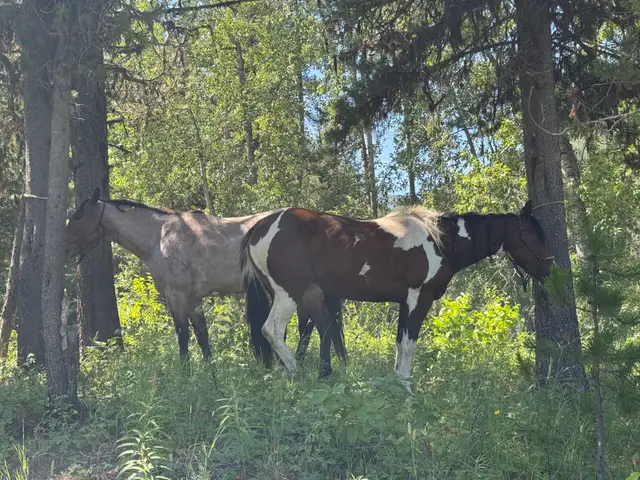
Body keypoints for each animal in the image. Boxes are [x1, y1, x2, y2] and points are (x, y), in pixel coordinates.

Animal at [64, 188, 346, 377]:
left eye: (77, 217)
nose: (65, 248)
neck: (160, 237)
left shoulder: (177, 297)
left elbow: (183, 335)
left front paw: (185, 372)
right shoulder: (193, 300)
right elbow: (202, 335)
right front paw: (210, 372)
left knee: (314, 324)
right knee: (319, 323)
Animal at [240, 200, 553, 387]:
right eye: (533, 234)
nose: (551, 270)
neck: (440, 242)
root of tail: (259, 226)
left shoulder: (405, 302)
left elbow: (399, 343)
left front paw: (397, 382)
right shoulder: (418, 298)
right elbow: (409, 344)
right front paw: (406, 386)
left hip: (309, 293)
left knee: (321, 328)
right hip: (287, 293)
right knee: (272, 330)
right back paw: (297, 373)